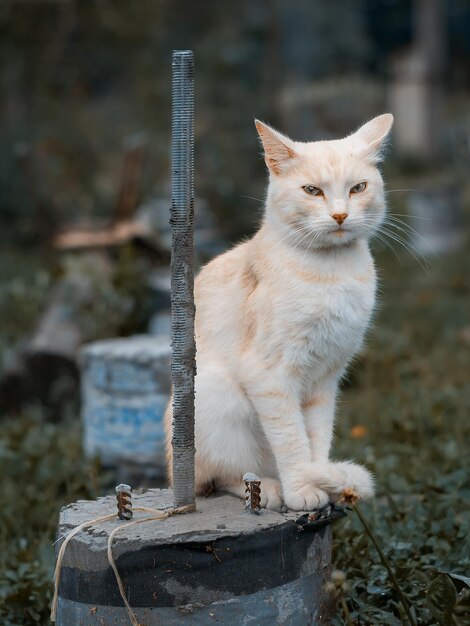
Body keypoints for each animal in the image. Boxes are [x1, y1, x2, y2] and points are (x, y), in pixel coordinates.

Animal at [165, 114, 392, 510]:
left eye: (358, 188)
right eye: (312, 191)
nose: (340, 214)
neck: (331, 274)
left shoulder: (325, 379)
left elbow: (316, 439)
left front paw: (323, 481)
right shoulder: (269, 375)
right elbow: (291, 440)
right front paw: (302, 488)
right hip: (213, 395)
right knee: (214, 479)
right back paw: (266, 489)